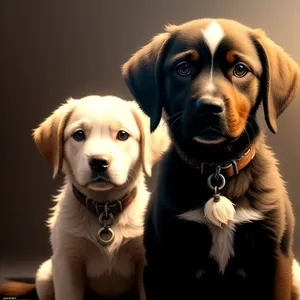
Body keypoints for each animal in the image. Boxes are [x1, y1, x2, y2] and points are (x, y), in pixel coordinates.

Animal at [122, 18, 300, 300]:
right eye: (183, 68)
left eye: (240, 69)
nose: (209, 108)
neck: (217, 166)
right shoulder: (164, 260)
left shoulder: (275, 258)